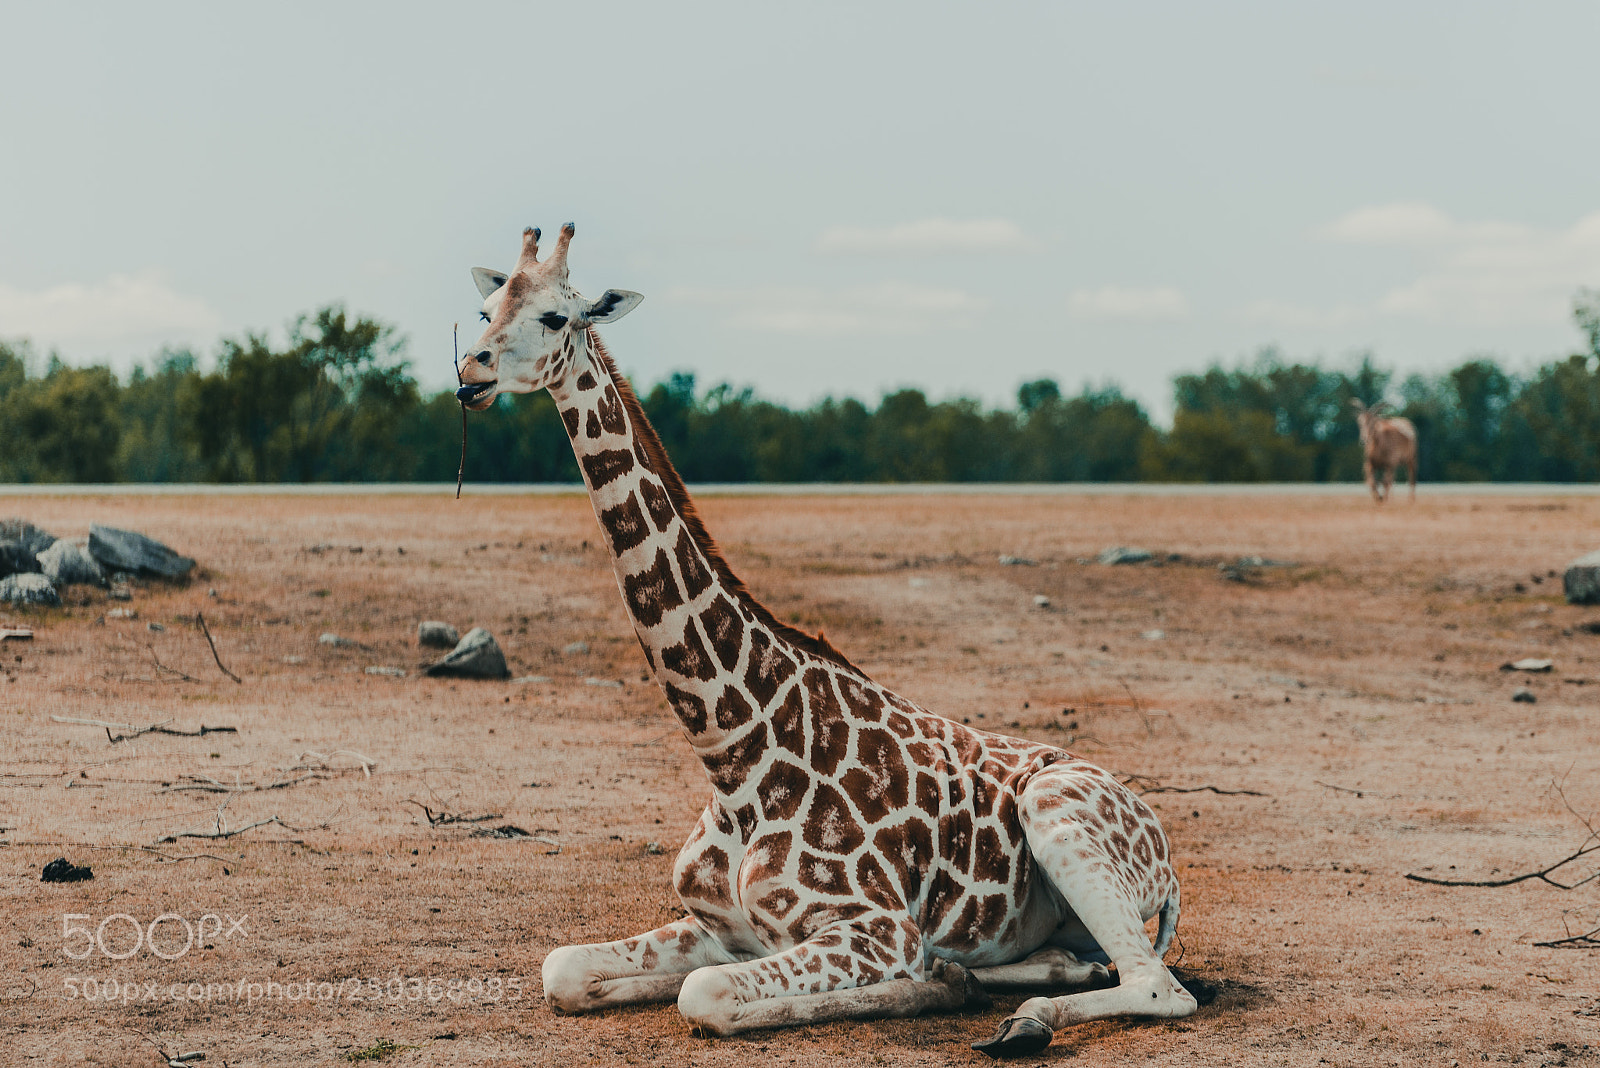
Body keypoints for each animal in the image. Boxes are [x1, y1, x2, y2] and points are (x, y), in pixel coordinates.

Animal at [455, 224, 1199, 1057]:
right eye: (486, 306)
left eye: (555, 316)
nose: (469, 372)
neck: (731, 757)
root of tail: (1165, 855)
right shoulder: (718, 927)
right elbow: (565, 968)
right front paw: (949, 977)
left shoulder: (874, 927)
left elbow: (704, 993)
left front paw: (932, 985)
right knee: (1090, 962)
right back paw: (1010, 976)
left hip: (1057, 816)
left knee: (1157, 986)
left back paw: (1020, 1018)